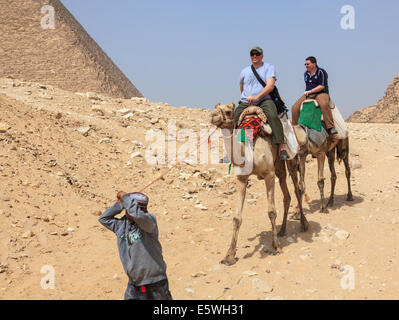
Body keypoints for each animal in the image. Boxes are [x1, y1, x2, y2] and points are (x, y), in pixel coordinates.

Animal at [209, 102, 310, 264]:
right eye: (215, 108)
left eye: (228, 111)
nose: (213, 116)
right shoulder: (242, 178)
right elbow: (237, 218)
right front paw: (229, 255)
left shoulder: (269, 174)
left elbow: (271, 212)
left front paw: (276, 247)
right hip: (279, 167)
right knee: (286, 194)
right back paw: (282, 230)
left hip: (292, 159)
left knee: (297, 188)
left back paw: (303, 223)